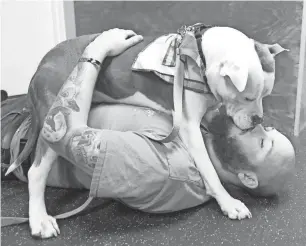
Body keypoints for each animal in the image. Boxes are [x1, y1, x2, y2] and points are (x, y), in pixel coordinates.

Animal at [4, 24, 286, 237]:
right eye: (248, 97)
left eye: (265, 95)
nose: (258, 119)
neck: (199, 57)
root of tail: (42, 64)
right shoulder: (189, 127)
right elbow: (210, 171)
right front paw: (229, 203)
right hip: (55, 120)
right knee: (36, 171)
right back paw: (39, 219)